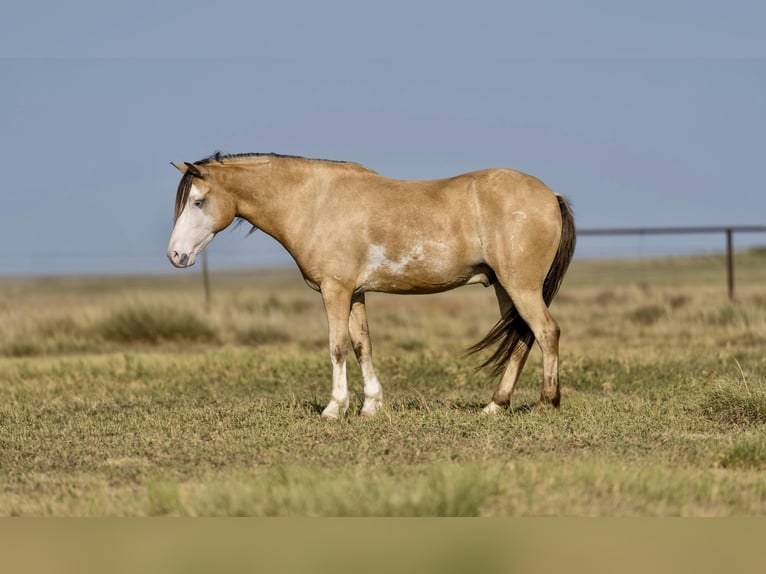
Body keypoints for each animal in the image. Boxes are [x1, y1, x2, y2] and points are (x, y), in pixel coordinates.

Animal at [168, 152, 576, 418]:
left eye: (198, 202)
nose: (175, 255)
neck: (314, 203)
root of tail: (550, 195)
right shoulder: (356, 294)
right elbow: (363, 345)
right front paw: (371, 406)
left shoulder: (335, 291)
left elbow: (337, 347)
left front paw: (334, 408)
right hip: (506, 288)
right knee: (523, 338)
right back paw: (495, 405)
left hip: (520, 287)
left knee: (546, 332)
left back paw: (546, 402)